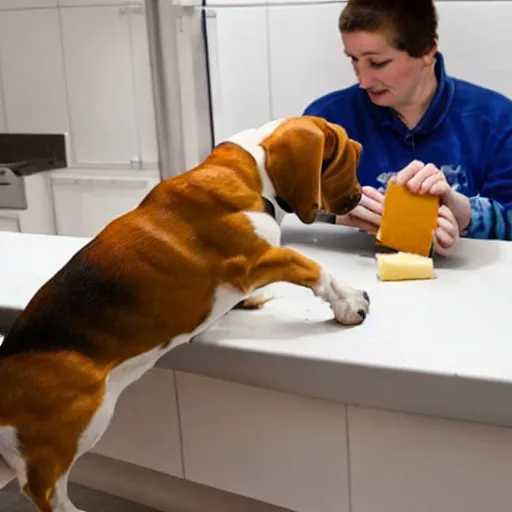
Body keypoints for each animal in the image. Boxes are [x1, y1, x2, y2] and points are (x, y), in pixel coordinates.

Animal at [0, 114, 368, 510]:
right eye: (353, 153)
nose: (359, 196)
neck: (251, 171)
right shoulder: (257, 259)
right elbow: (316, 269)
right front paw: (351, 302)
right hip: (80, 420)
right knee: (42, 490)